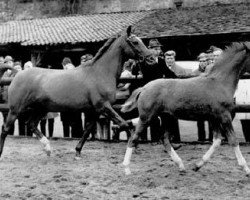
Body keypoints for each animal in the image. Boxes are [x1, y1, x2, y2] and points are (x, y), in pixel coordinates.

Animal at [0, 25, 154, 159]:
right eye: (135, 42)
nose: (151, 58)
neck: (99, 73)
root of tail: (18, 74)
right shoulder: (104, 106)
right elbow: (124, 124)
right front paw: (134, 146)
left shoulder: (96, 110)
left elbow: (87, 130)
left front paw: (78, 151)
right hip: (16, 109)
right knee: (6, 128)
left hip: (41, 109)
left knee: (31, 125)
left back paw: (48, 149)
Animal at [121, 42, 250, 175]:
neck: (219, 82)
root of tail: (144, 88)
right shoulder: (224, 116)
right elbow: (233, 140)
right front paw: (246, 168)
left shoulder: (214, 118)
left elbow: (217, 141)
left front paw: (197, 165)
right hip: (146, 118)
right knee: (133, 139)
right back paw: (127, 169)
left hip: (167, 118)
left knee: (164, 139)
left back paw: (181, 165)